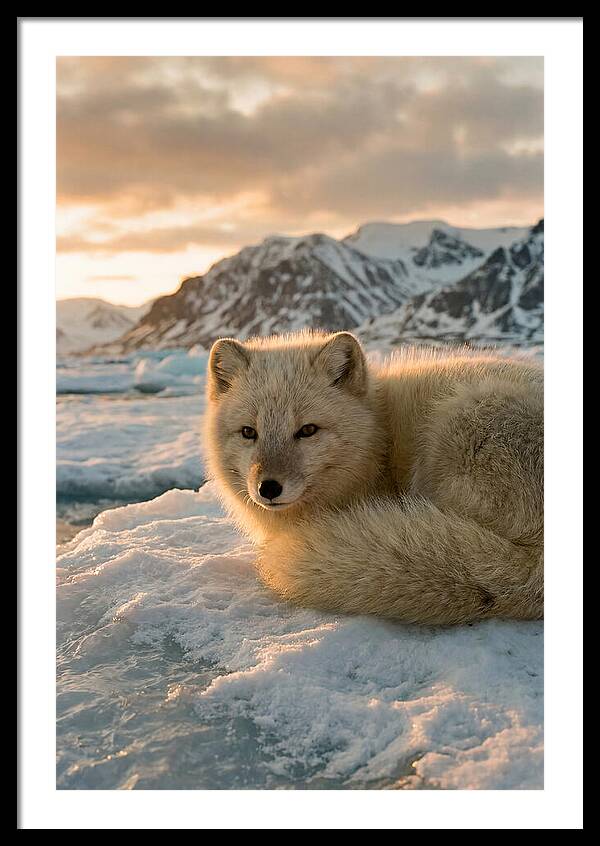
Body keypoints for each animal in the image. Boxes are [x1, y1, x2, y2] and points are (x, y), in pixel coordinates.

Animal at [204, 331, 543, 625]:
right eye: (249, 432)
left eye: (308, 430)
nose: (269, 488)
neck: (379, 437)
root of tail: (534, 568)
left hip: (459, 424)